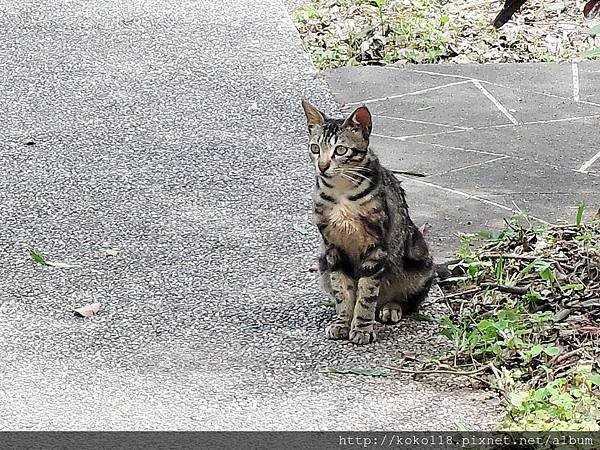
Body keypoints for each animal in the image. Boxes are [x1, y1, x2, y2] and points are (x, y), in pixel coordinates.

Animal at [302, 98, 434, 344]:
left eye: (340, 150)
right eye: (315, 148)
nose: (322, 166)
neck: (341, 192)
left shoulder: (375, 246)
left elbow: (367, 292)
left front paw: (362, 327)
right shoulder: (333, 247)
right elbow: (343, 290)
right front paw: (343, 323)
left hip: (418, 256)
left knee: (407, 301)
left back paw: (391, 308)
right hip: (322, 263)